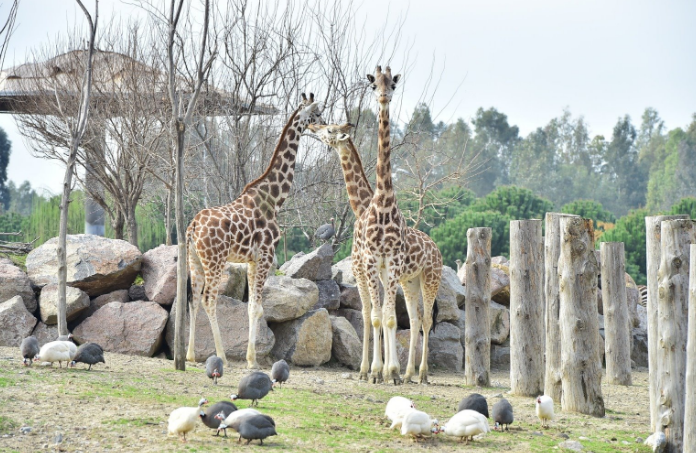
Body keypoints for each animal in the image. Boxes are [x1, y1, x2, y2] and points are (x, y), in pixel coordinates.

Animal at [186, 92, 324, 368]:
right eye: (317, 114)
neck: (274, 198)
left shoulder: (251, 260)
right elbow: (257, 307)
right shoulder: (265, 256)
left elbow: (253, 307)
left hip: (194, 261)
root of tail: (193, 227)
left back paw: (190, 355)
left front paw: (251, 357)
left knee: (193, 299)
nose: (325, 125)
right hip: (215, 261)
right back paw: (221, 356)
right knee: (209, 299)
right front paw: (252, 360)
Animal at [308, 122, 444, 384]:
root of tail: (437, 249)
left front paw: (374, 370)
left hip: (430, 278)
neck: (363, 208)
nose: (312, 126)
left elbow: (373, 313)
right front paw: (380, 370)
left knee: (427, 319)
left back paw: (422, 374)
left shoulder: (362, 268)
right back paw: (408, 373)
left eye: (329, 130)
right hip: (410, 281)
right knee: (414, 319)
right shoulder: (378, 272)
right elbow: (378, 313)